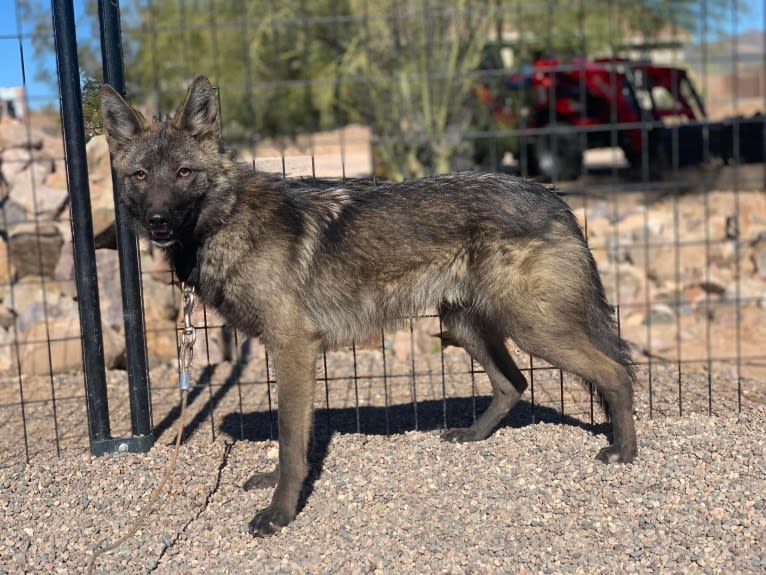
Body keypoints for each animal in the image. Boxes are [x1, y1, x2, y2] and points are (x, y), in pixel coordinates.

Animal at [102, 75, 640, 536]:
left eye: (184, 173)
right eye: (141, 175)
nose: (157, 221)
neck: (227, 219)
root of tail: (553, 196)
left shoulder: (294, 348)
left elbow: (292, 442)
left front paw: (280, 512)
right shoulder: (291, 354)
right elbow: (292, 438)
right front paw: (275, 486)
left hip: (532, 329)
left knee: (614, 372)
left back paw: (625, 452)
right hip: (467, 326)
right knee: (514, 384)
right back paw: (472, 437)